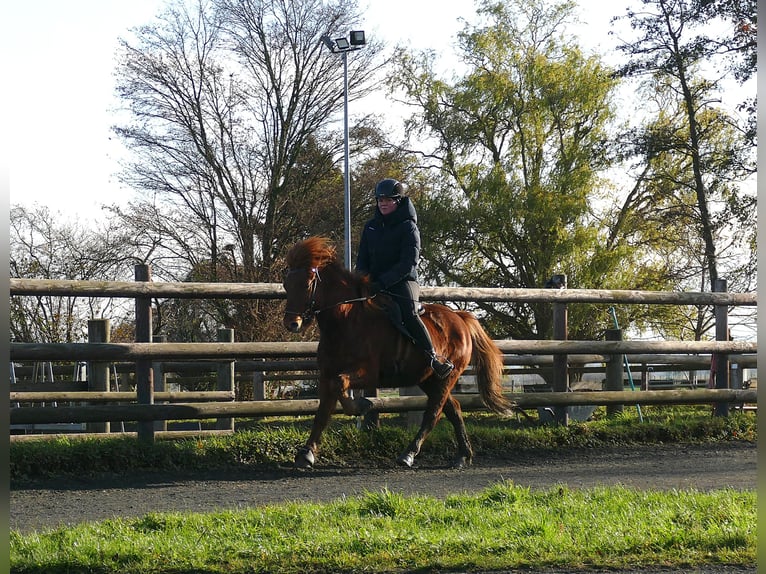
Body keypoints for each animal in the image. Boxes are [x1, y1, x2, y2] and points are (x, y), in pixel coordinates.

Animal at [282, 236, 514, 469]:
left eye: (307, 284)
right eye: (286, 285)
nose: (292, 323)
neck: (345, 323)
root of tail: (460, 317)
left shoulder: (367, 373)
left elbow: (340, 385)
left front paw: (362, 405)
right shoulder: (326, 375)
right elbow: (322, 413)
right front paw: (306, 453)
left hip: (447, 376)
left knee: (433, 414)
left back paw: (409, 454)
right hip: (429, 379)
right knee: (454, 409)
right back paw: (462, 455)